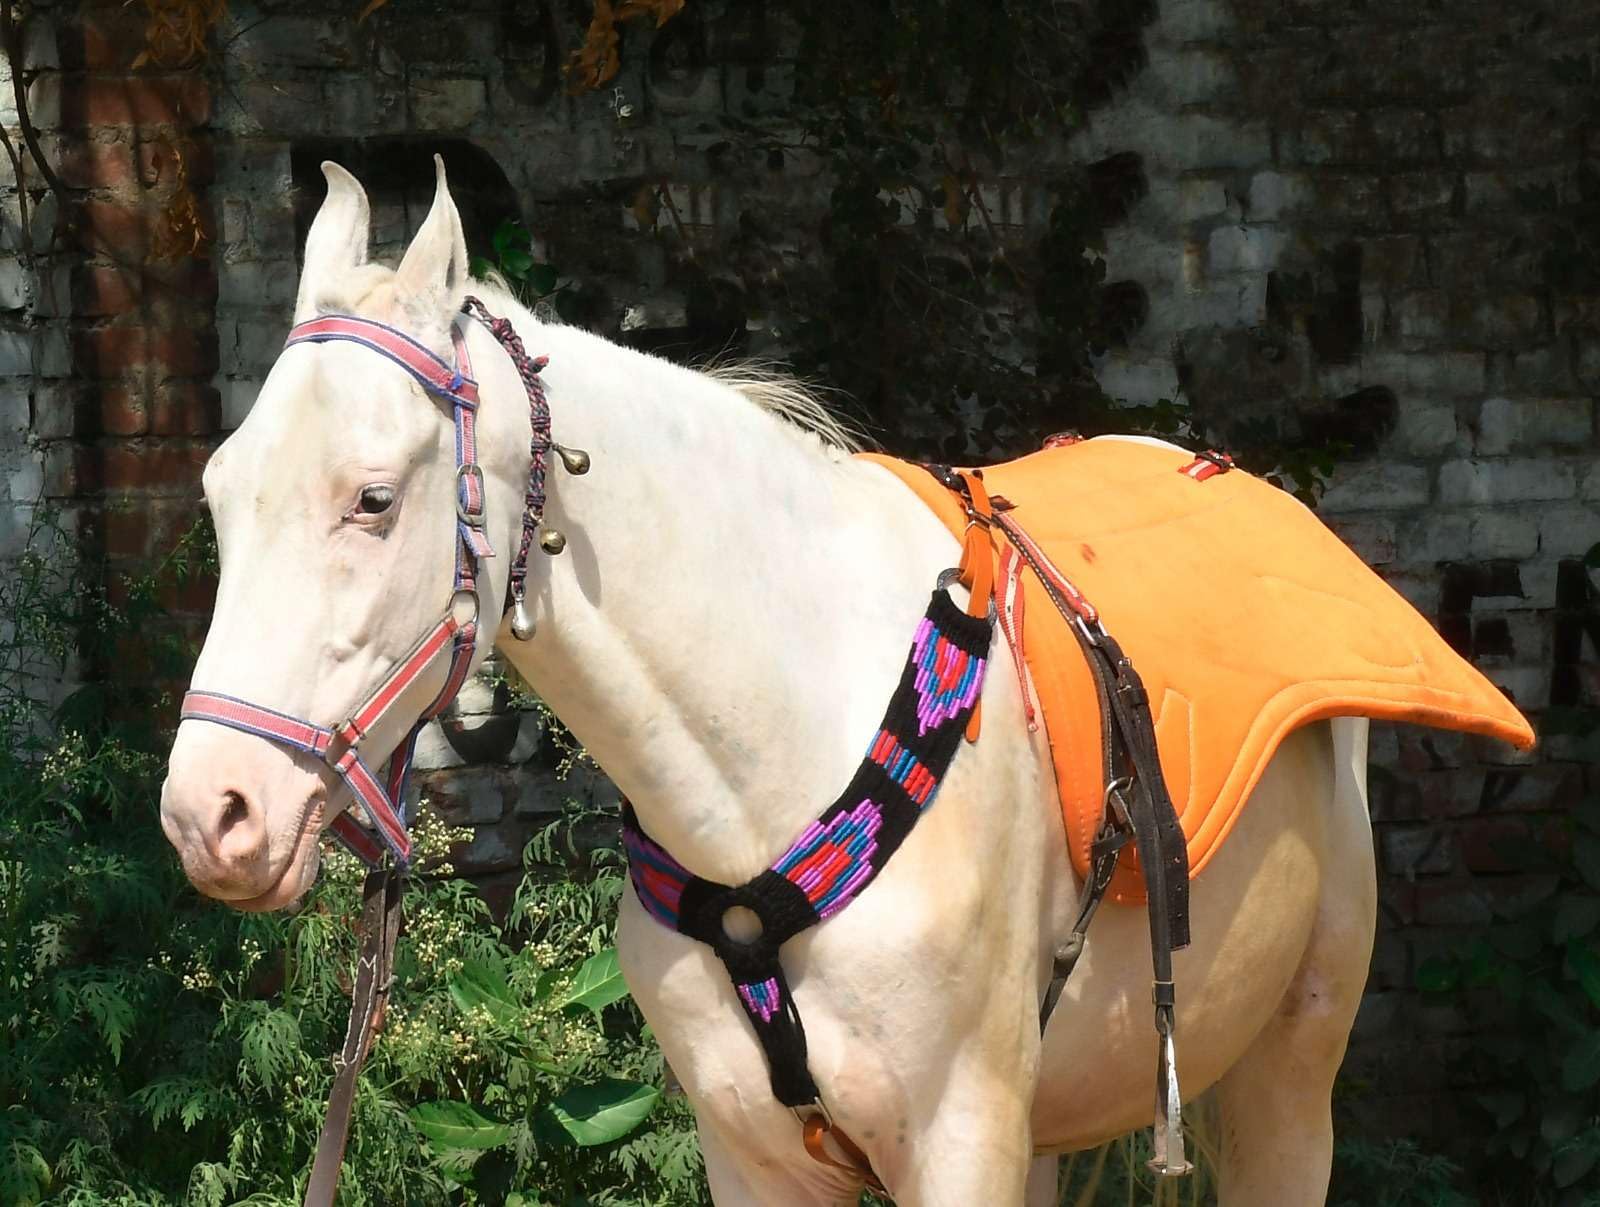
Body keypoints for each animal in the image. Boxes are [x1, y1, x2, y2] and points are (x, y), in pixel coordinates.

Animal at [160, 158, 1386, 1205]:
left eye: (371, 499)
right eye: (218, 489)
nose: (211, 813)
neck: (780, 756)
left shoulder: (963, 1140)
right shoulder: (754, 1150)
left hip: (1289, 1070)